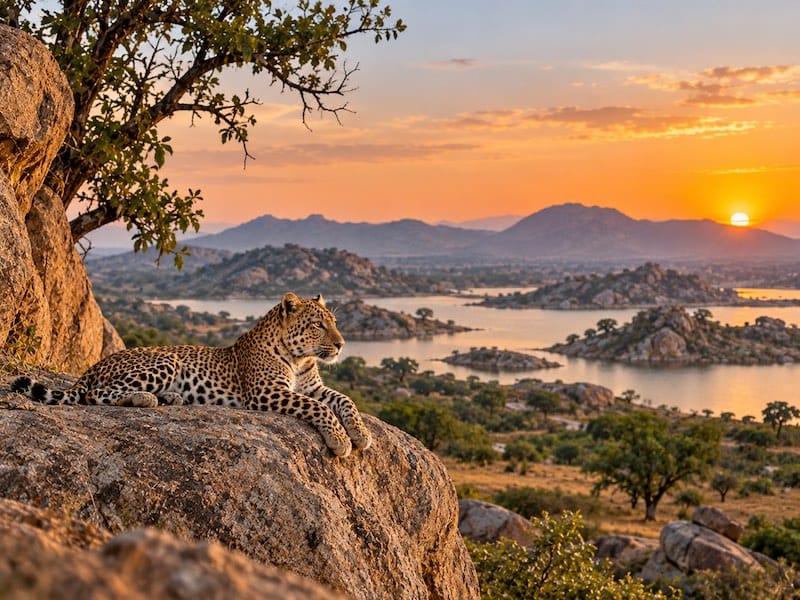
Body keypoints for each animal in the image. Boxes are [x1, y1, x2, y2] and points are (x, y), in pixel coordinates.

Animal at [11, 292, 371, 457]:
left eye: (334, 322)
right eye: (318, 324)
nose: (341, 344)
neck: (299, 359)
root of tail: (95, 365)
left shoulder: (311, 387)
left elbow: (344, 400)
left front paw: (361, 433)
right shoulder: (267, 392)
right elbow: (319, 408)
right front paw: (340, 441)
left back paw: (170, 397)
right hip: (165, 360)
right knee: (95, 394)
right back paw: (147, 398)